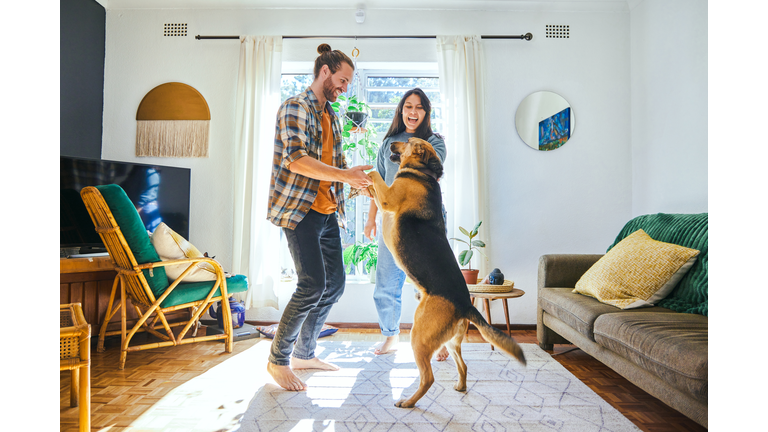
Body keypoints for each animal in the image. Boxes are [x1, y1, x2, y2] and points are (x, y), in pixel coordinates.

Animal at [368, 138, 528, 408]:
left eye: (408, 141)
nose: (389, 142)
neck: (423, 172)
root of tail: (466, 304)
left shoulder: (388, 198)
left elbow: (373, 176)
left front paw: (363, 169)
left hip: (419, 337)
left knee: (428, 378)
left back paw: (408, 402)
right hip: (452, 342)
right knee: (463, 366)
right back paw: (460, 387)